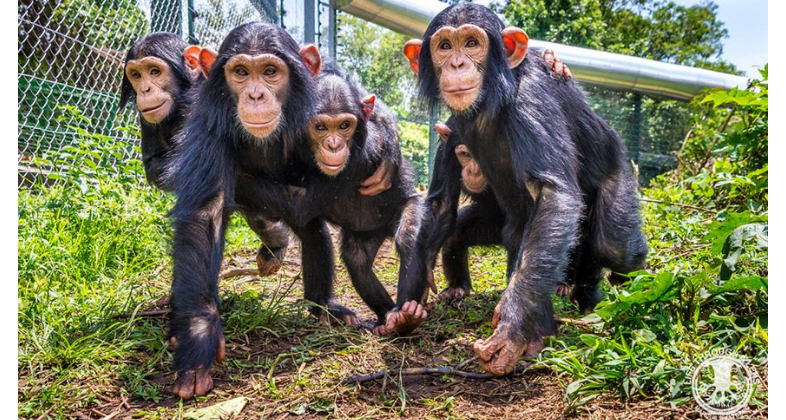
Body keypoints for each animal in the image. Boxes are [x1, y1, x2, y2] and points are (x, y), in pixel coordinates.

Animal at [402, 4, 648, 376]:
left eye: (471, 43)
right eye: (444, 47)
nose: (457, 64)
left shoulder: (530, 103)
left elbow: (552, 194)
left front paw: (510, 332)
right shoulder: (450, 139)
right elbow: (441, 202)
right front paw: (411, 295)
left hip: (617, 176)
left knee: (613, 244)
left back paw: (617, 285)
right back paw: (535, 331)